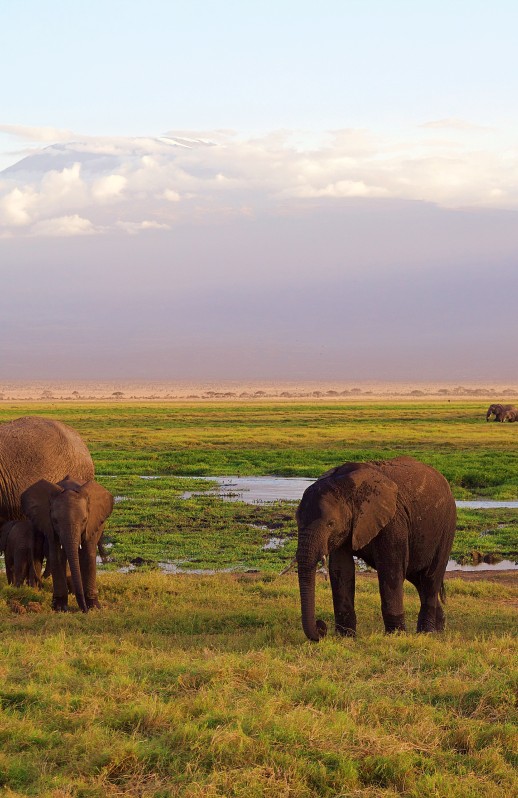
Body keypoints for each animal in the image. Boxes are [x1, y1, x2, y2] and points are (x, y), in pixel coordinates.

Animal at [21, 478, 114, 612]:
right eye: (55, 521)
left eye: (84, 520)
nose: (83, 610)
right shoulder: (50, 526)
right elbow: (57, 556)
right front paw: (59, 608)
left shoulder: (91, 525)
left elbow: (88, 556)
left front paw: (94, 608)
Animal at [296, 456, 456, 641]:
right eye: (297, 520)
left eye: (330, 524)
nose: (321, 627)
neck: (347, 486)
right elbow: (341, 570)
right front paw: (346, 637)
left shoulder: (393, 521)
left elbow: (390, 569)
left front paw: (395, 635)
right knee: (417, 578)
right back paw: (440, 629)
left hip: (446, 527)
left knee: (430, 578)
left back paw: (427, 633)